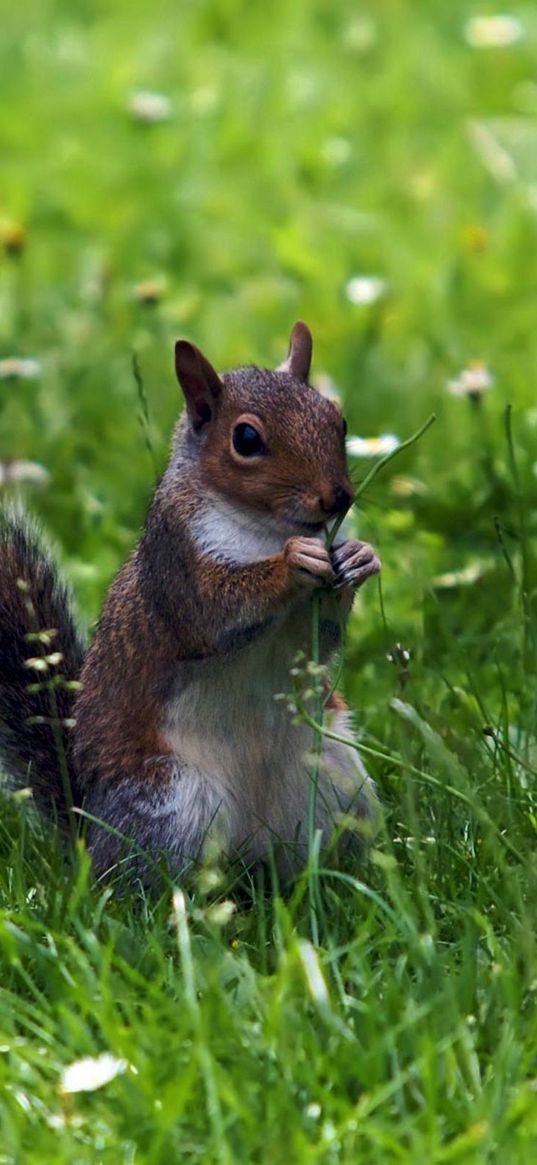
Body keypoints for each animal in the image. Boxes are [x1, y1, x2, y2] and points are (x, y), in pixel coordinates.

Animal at [0, 321, 379, 880]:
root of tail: (88, 830)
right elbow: (215, 611)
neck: (268, 528)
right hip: (167, 804)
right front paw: (291, 563)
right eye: (246, 439)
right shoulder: (176, 562)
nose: (338, 498)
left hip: (335, 776)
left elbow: (320, 640)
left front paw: (359, 557)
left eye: (339, 418)